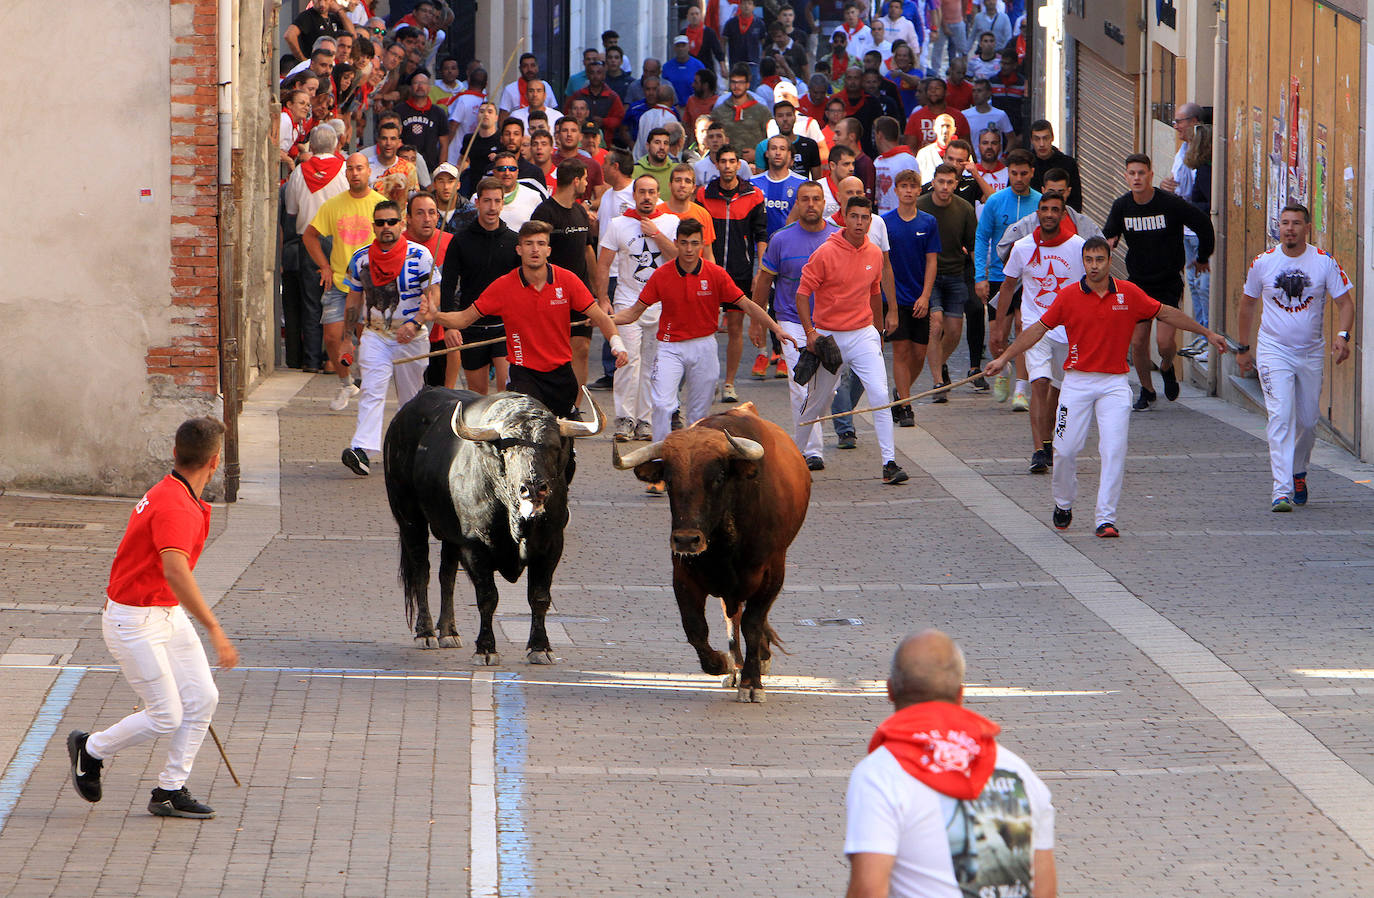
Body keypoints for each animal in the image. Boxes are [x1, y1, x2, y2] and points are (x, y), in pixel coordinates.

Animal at [618, 403, 807, 703]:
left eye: (718, 478)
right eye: (669, 480)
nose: (686, 539)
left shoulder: (772, 573)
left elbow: (753, 624)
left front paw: (752, 681)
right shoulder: (683, 575)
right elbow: (695, 627)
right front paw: (722, 663)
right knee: (731, 617)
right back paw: (737, 666)